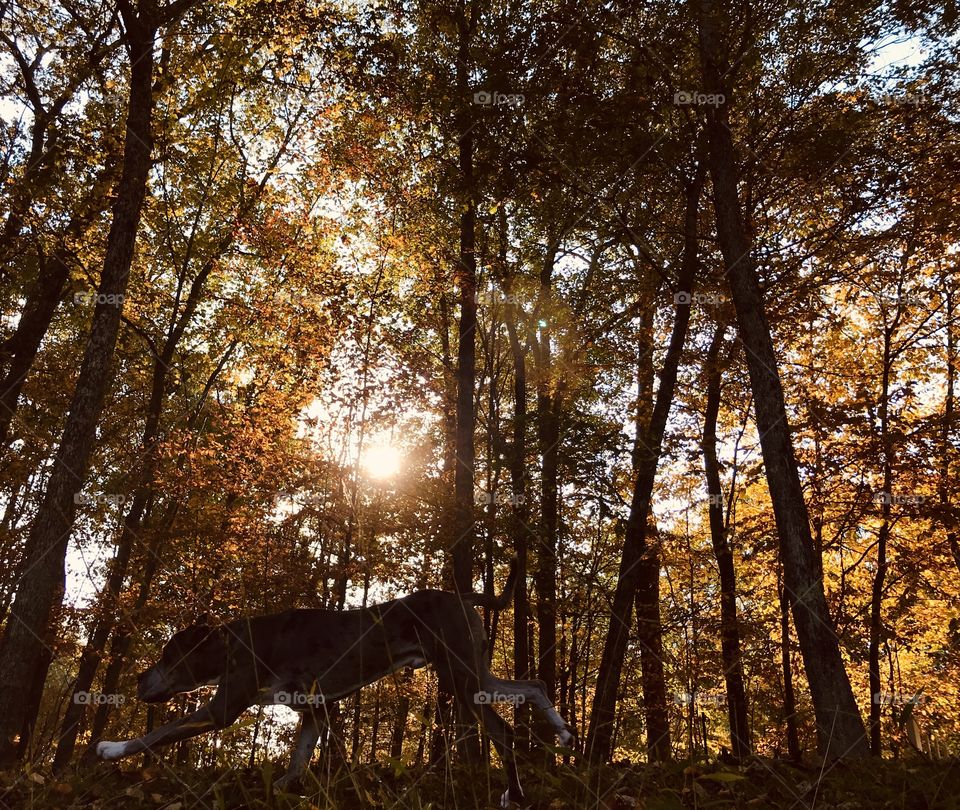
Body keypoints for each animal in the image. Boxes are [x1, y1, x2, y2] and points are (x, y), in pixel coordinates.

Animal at [95, 560, 576, 804]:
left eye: (167, 655)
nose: (138, 677)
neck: (236, 642)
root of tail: (461, 595)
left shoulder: (221, 709)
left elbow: (158, 733)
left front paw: (110, 748)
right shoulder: (317, 709)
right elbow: (297, 759)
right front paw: (283, 791)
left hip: (462, 680)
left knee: (505, 731)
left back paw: (514, 793)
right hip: (475, 671)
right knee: (534, 685)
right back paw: (564, 733)